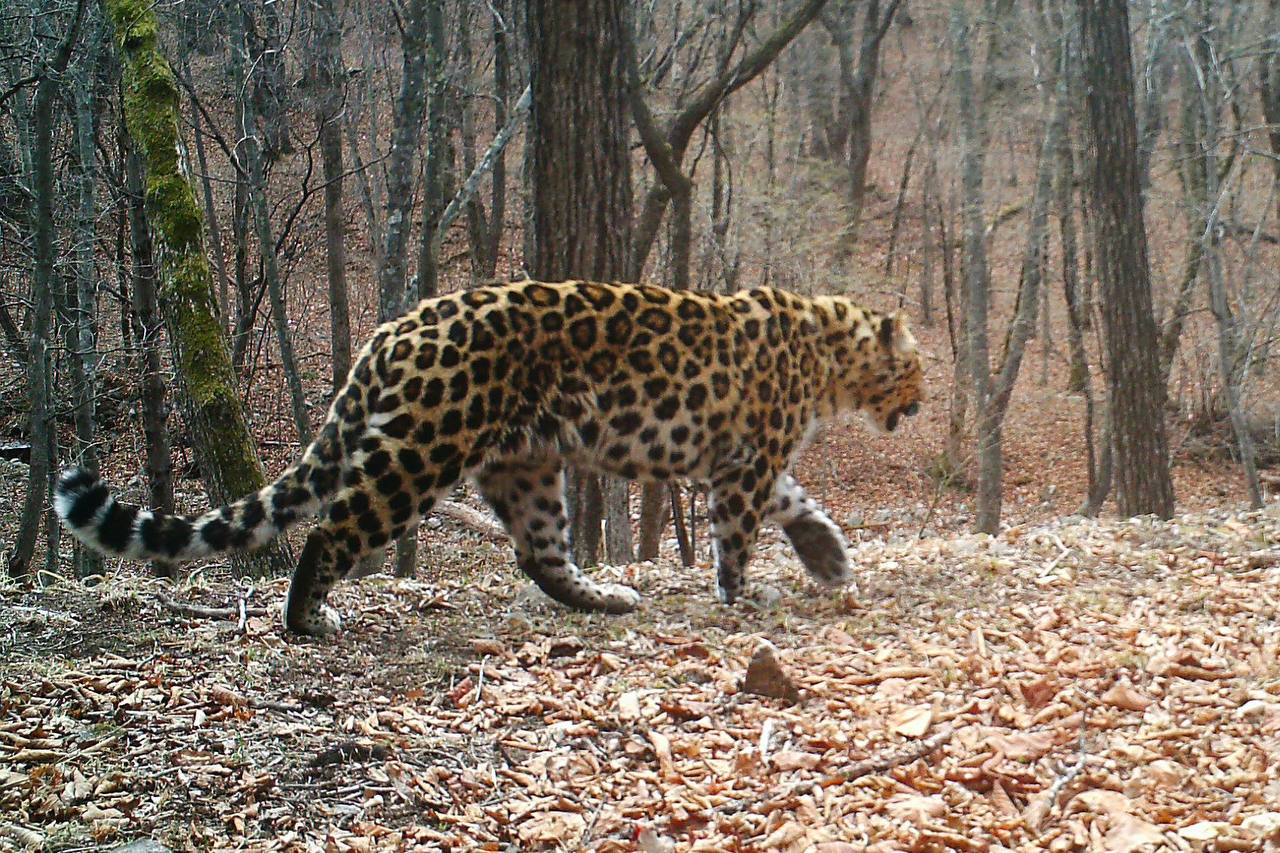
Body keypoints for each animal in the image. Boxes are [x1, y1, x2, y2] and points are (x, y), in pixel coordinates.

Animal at [55, 279, 926, 630]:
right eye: (914, 366)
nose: (919, 402)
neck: (831, 353)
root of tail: (389, 330)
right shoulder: (746, 459)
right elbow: (741, 532)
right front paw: (741, 596)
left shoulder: (741, 459)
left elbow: (798, 503)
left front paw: (828, 557)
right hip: (420, 450)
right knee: (331, 529)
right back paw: (307, 619)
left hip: (525, 462)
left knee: (539, 553)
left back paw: (606, 599)